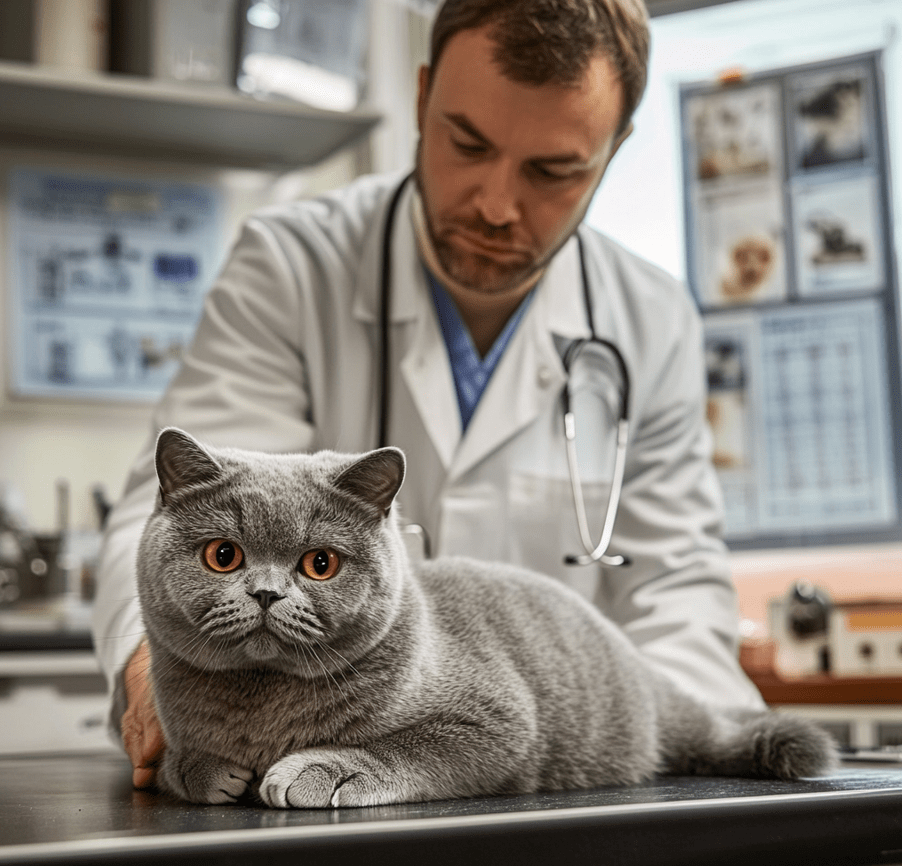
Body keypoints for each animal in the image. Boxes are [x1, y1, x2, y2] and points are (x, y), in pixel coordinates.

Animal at [138, 428, 836, 808]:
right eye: (224, 555)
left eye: (319, 564)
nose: (266, 594)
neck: (261, 705)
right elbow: (179, 757)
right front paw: (203, 769)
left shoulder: (498, 719)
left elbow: (406, 744)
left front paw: (321, 767)